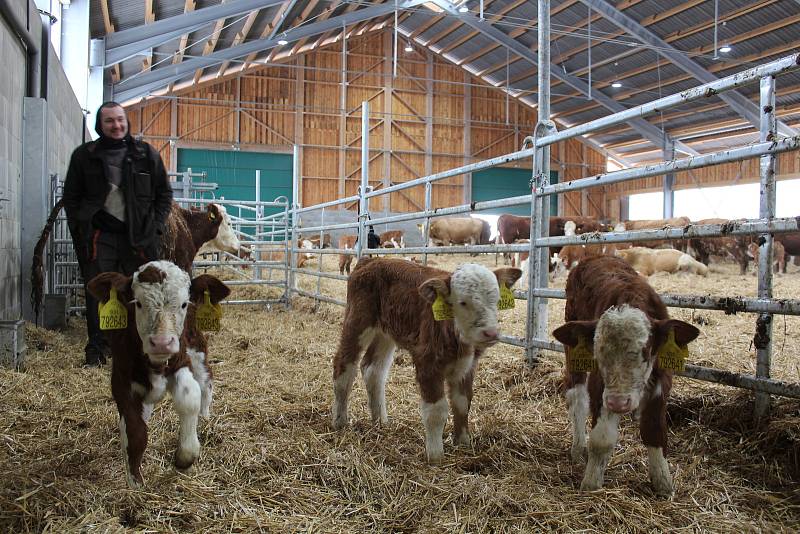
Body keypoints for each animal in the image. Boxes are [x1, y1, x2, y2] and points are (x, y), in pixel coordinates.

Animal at [88, 262, 231, 488]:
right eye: (137, 303)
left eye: (184, 304)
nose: (162, 343)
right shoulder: (121, 379)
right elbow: (134, 429)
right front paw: (135, 481)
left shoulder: (181, 361)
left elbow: (190, 396)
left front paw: (185, 457)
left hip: (197, 348)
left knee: (205, 382)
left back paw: (205, 418)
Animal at [552, 256, 696, 498]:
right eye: (598, 351)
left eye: (646, 350)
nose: (618, 403)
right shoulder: (600, 385)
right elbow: (602, 439)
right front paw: (591, 484)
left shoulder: (661, 379)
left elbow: (654, 430)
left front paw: (663, 484)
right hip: (573, 350)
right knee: (576, 396)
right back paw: (578, 447)